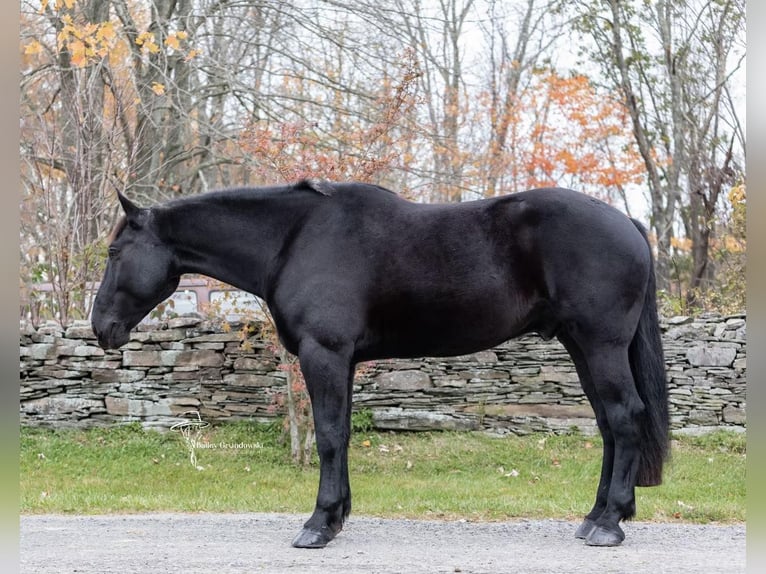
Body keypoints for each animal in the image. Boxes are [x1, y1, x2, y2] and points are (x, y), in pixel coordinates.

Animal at [91, 179, 672, 548]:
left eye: (116, 253)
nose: (101, 328)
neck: (295, 238)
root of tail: (626, 222)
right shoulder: (341, 360)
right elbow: (342, 433)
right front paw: (337, 516)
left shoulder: (324, 353)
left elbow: (328, 435)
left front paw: (318, 525)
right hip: (581, 346)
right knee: (608, 426)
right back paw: (595, 516)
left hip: (599, 345)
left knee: (624, 418)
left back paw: (609, 524)